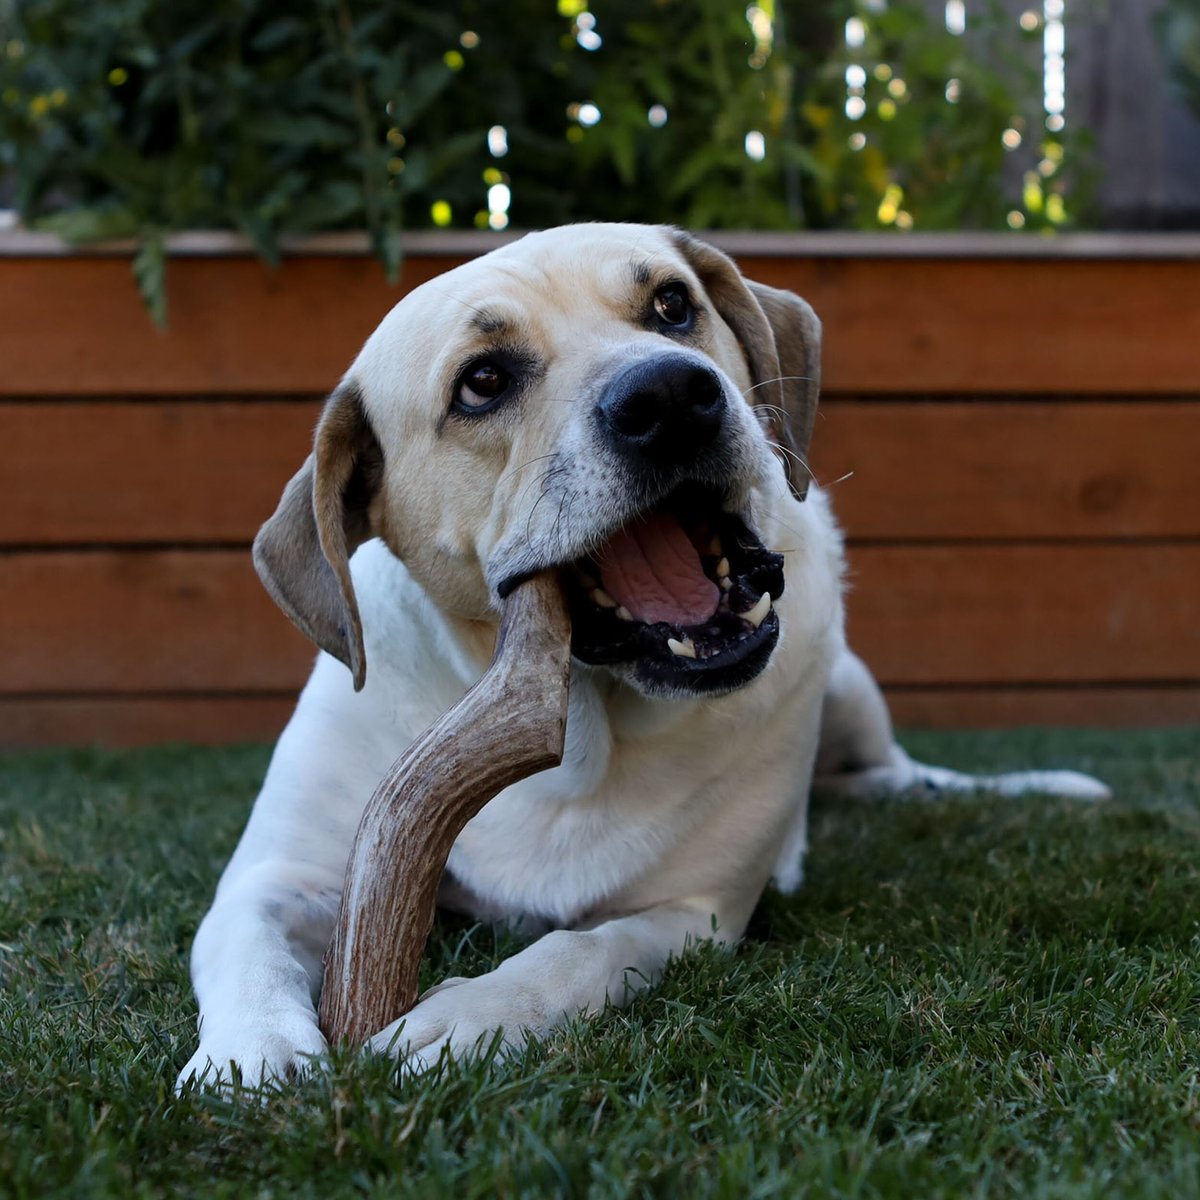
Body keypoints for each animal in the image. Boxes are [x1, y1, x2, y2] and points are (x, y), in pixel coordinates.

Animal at [175, 220, 1104, 1094]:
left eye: (671, 304)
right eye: (482, 382)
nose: (670, 394)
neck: (586, 727)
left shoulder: (693, 911)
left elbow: (580, 949)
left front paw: (471, 1017)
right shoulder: (278, 875)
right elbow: (245, 946)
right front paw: (250, 1058)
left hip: (850, 693)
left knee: (895, 775)